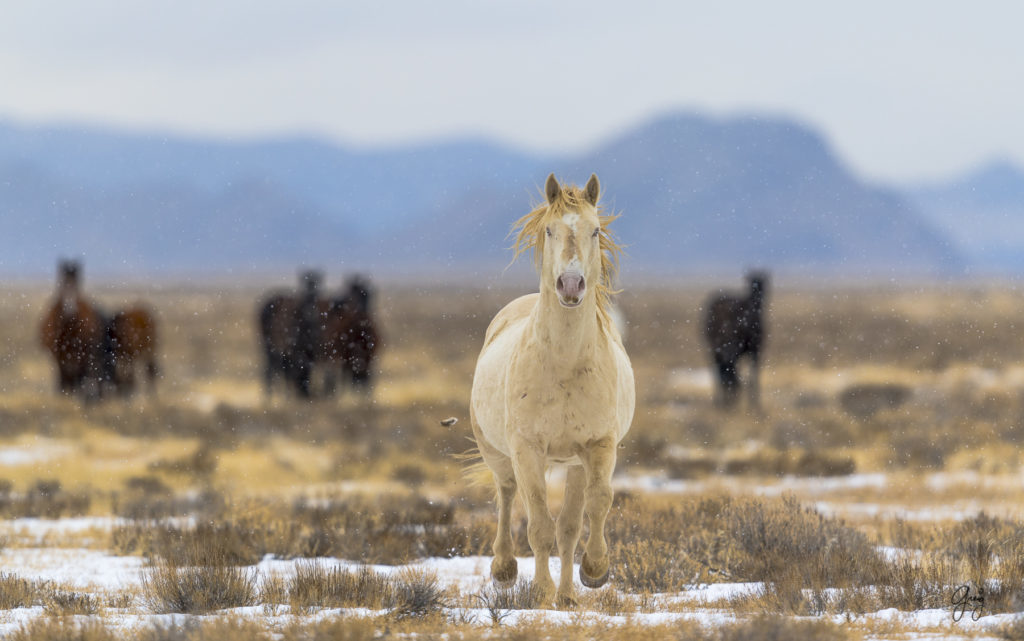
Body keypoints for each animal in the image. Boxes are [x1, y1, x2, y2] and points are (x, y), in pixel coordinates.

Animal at [39, 260, 109, 399]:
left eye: (77, 285)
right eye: (62, 284)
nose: (69, 307)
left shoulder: (81, 356)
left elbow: (77, 377)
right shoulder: (59, 356)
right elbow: (63, 377)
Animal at [468, 172, 630, 606]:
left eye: (595, 230)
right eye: (549, 229)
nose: (570, 284)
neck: (565, 365)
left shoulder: (598, 445)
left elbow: (595, 504)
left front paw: (592, 574)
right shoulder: (528, 448)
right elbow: (538, 523)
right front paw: (540, 592)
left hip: (572, 463)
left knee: (569, 524)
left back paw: (568, 592)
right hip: (499, 452)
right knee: (508, 494)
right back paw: (505, 569)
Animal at [704, 272, 770, 407]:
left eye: (763, 284)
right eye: (752, 283)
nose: (759, 295)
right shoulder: (755, 349)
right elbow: (753, 376)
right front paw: (754, 404)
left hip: (715, 349)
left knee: (720, 371)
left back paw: (722, 402)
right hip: (730, 348)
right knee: (726, 371)